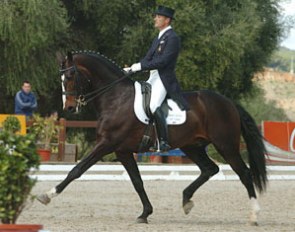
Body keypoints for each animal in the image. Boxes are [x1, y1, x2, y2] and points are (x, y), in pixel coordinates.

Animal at [37, 50, 268, 225]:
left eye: (70, 77)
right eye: (61, 78)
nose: (69, 108)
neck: (115, 98)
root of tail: (228, 103)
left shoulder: (106, 144)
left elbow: (77, 169)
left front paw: (48, 195)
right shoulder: (122, 150)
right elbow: (137, 181)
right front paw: (145, 213)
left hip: (226, 145)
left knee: (244, 173)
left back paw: (254, 215)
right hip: (192, 146)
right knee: (210, 169)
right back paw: (186, 200)